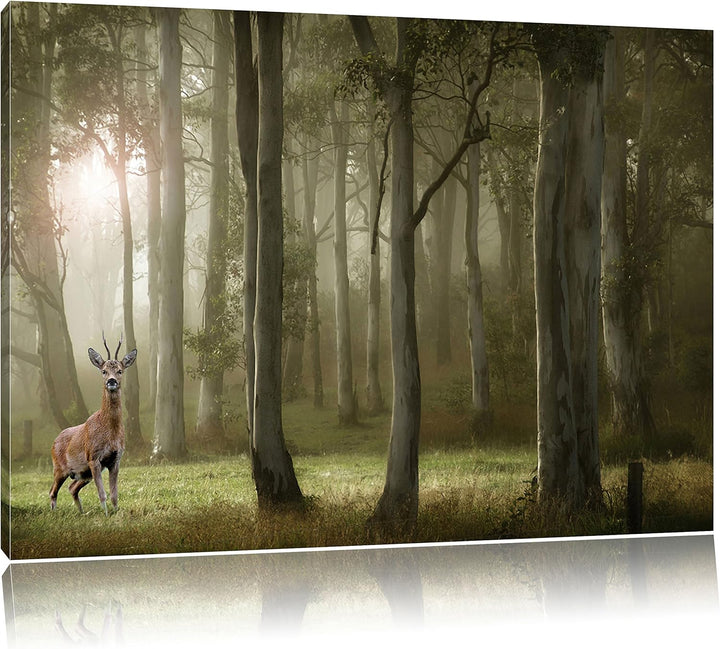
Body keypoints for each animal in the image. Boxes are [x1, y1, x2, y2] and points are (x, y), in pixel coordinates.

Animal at [49, 334, 137, 515]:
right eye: (104, 371)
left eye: (120, 370)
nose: (111, 381)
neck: (110, 431)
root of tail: (54, 441)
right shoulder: (93, 457)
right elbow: (102, 493)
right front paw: (106, 515)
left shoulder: (116, 459)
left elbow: (114, 494)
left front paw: (116, 512)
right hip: (60, 468)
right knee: (52, 491)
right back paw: (54, 513)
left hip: (83, 474)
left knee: (72, 487)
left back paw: (82, 513)